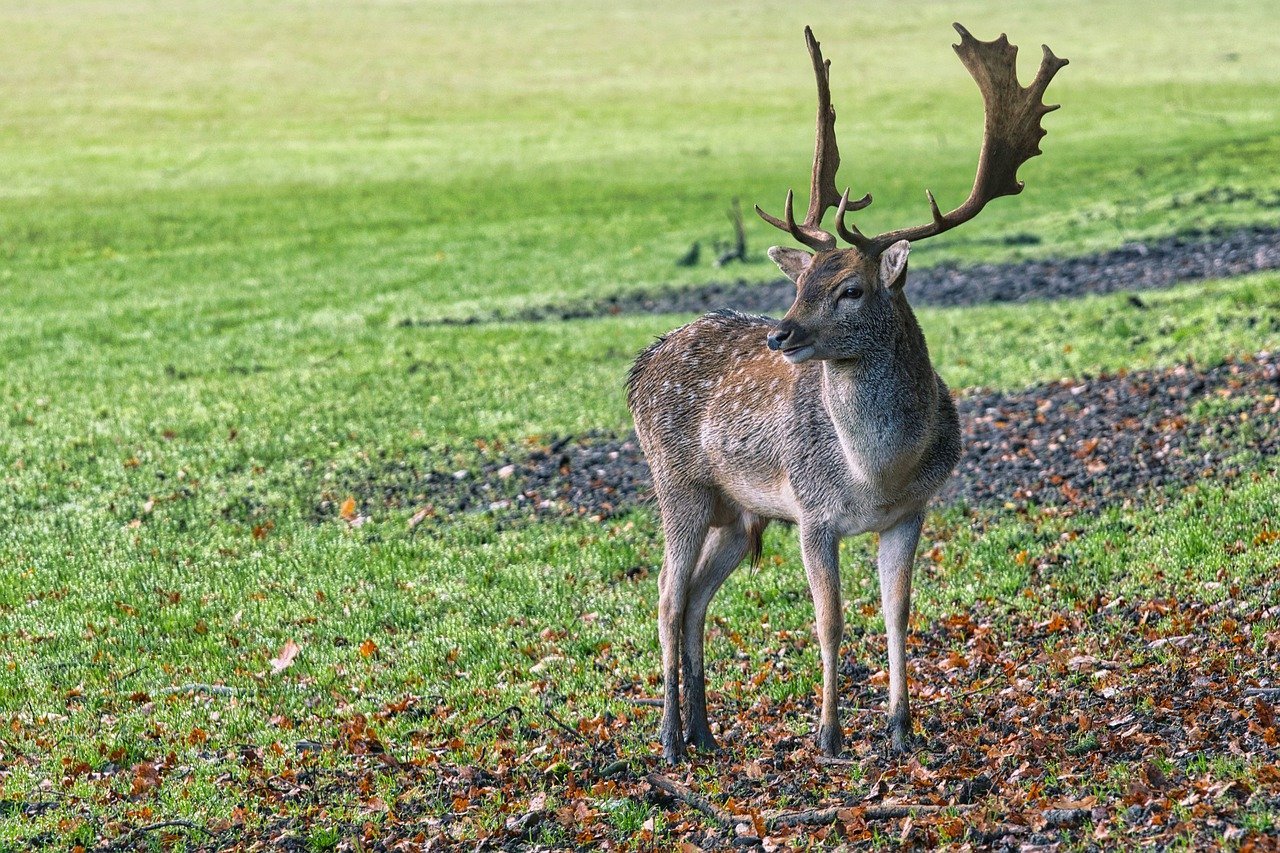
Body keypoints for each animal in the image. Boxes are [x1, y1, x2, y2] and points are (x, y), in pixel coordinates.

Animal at [624, 23, 1064, 758]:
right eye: (800, 283)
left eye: (850, 289)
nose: (781, 333)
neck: (876, 474)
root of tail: (637, 367)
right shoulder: (812, 513)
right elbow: (828, 621)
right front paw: (828, 734)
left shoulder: (912, 511)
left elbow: (897, 612)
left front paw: (900, 728)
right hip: (676, 481)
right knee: (665, 593)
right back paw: (669, 740)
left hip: (738, 513)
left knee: (696, 600)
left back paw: (705, 733)